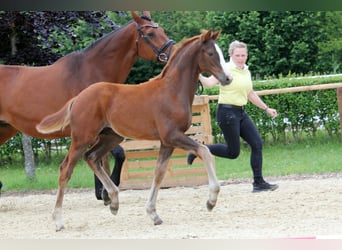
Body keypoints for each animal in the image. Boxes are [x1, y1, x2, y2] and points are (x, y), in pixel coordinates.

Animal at [0, 10, 172, 197]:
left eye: (162, 30)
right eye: (151, 33)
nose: (173, 51)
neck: (90, 70)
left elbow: (106, 158)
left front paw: (103, 192)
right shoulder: (93, 132)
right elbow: (115, 154)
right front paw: (105, 192)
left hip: (5, 130)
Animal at [37, 29, 232, 230]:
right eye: (211, 53)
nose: (228, 78)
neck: (173, 91)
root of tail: (78, 98)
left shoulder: (167, 142)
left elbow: (159, 172)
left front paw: (153, 213)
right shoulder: (172, 136)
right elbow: (204, 151)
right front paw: (211, 201)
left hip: (111, 137)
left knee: (91, 157)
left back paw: (114, 202)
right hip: (82, 138)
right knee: (66, 169)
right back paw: (58, 220)